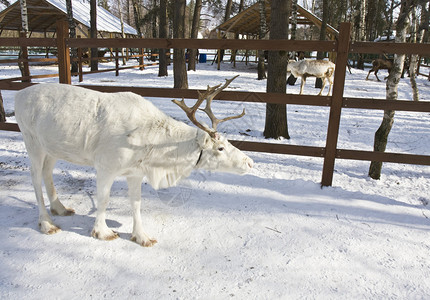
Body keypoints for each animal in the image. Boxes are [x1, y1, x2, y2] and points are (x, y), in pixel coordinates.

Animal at [15, 76, 252, 247]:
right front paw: (103, 232)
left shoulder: (136, 172)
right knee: (35, 177)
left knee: (47, 173)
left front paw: (142, 237)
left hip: (52, 148)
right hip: (32, 141)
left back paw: (60, 208)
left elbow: (136, 203)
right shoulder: (105, 166)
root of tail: (18, 94)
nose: (249, 163)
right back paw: (46, 223)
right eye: (220, 148)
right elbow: (103, 200)